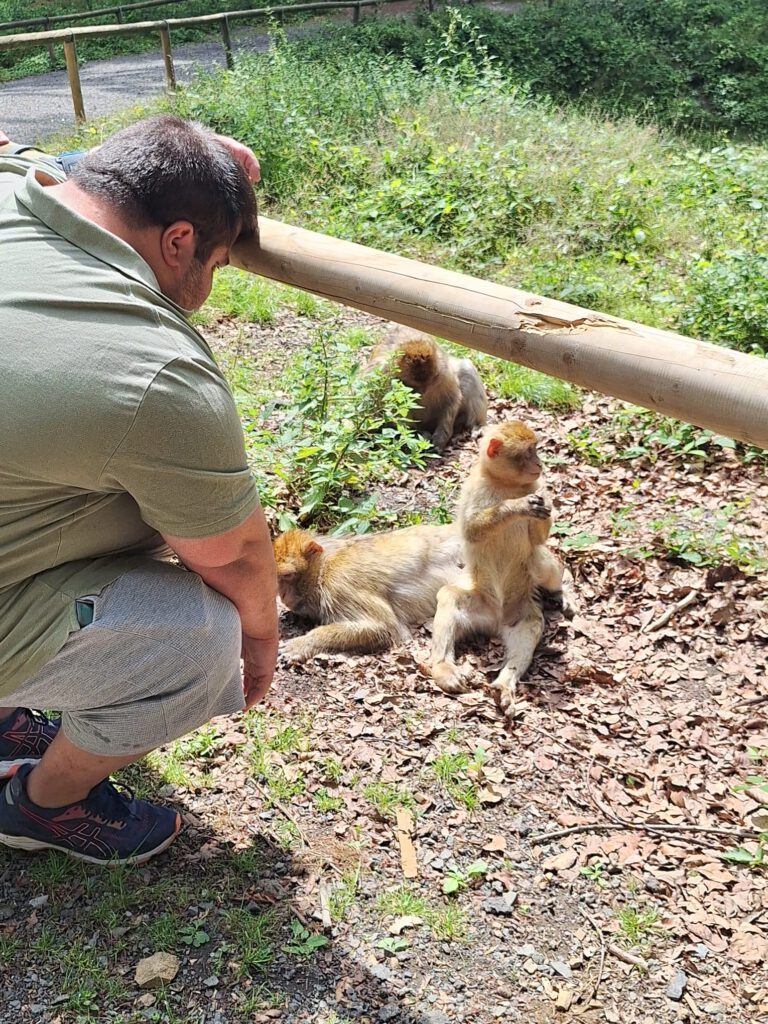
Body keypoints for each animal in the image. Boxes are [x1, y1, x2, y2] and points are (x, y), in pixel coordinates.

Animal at [273, 523, 464, 663]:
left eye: (287, 576)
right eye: (276, 578)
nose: (281, 595)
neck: (324, 566)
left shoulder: (339, 582)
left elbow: (387, 627)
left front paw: (303, 643)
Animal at [430, 421, 575, 721]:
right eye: (529, 451)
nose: (539, 463)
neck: (506, 485)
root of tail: (495, 620)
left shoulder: (536, 485)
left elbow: (538, 539)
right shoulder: (473, 488)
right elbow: (472, 531)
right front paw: (515, 507)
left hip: (520, 609)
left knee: (537, 571)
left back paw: (504, 684)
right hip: (478, 606)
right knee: (449, 597)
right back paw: (443, 669)